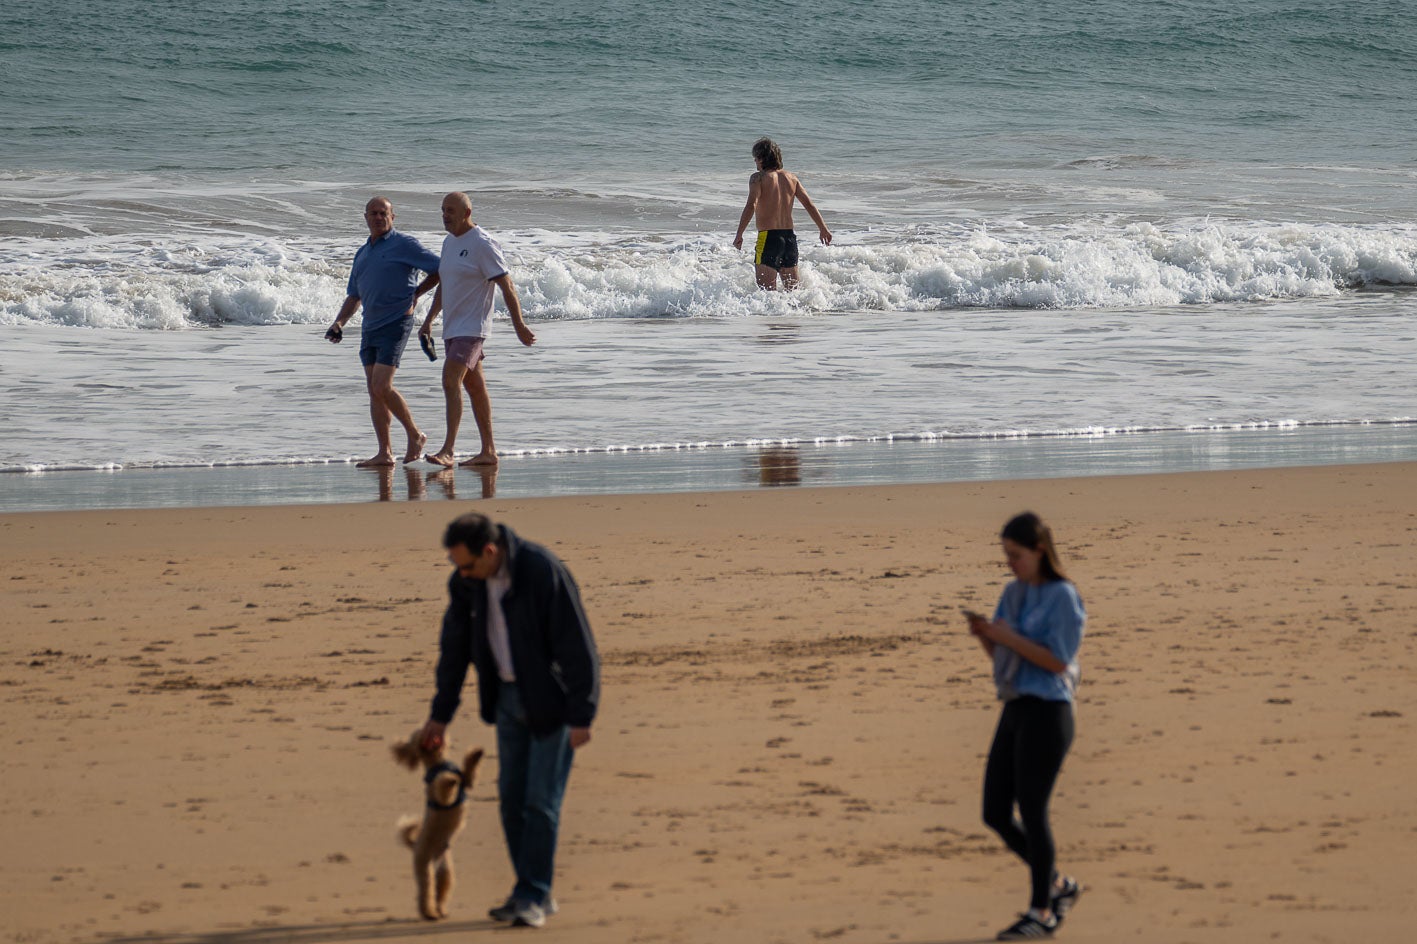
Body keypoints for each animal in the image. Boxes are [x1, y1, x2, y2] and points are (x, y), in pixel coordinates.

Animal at [391, 725, 484, 918]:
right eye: (420, 734)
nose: (434, 737)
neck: (438, 763)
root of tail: (414, 845)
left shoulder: (467, 781)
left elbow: (468, 771)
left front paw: (477, 753)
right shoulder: (440, 793)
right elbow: (444, 782)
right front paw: (451, 779)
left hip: (445, 872)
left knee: (441, 891)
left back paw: (441, 910)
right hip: (424, 869)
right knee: (425, 892)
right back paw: (429, 913)